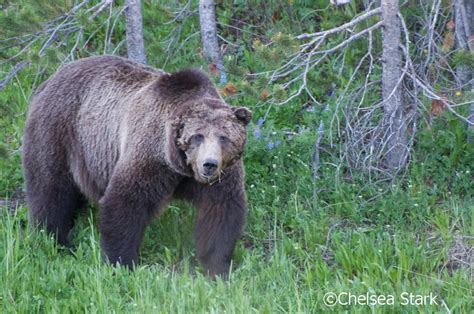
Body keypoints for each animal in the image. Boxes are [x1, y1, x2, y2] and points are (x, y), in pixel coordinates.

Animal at [22, 55, 252, 276]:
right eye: (197, 136)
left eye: (224, 137)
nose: (209, 164)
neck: (182, 168)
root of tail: (53, 77)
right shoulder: (150, 157)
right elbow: (126, 202)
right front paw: (122, 262)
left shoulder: (223, 175)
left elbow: (221, 212)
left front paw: (217, 268)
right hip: (59, 131)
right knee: (51, 188)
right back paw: (55, 240)